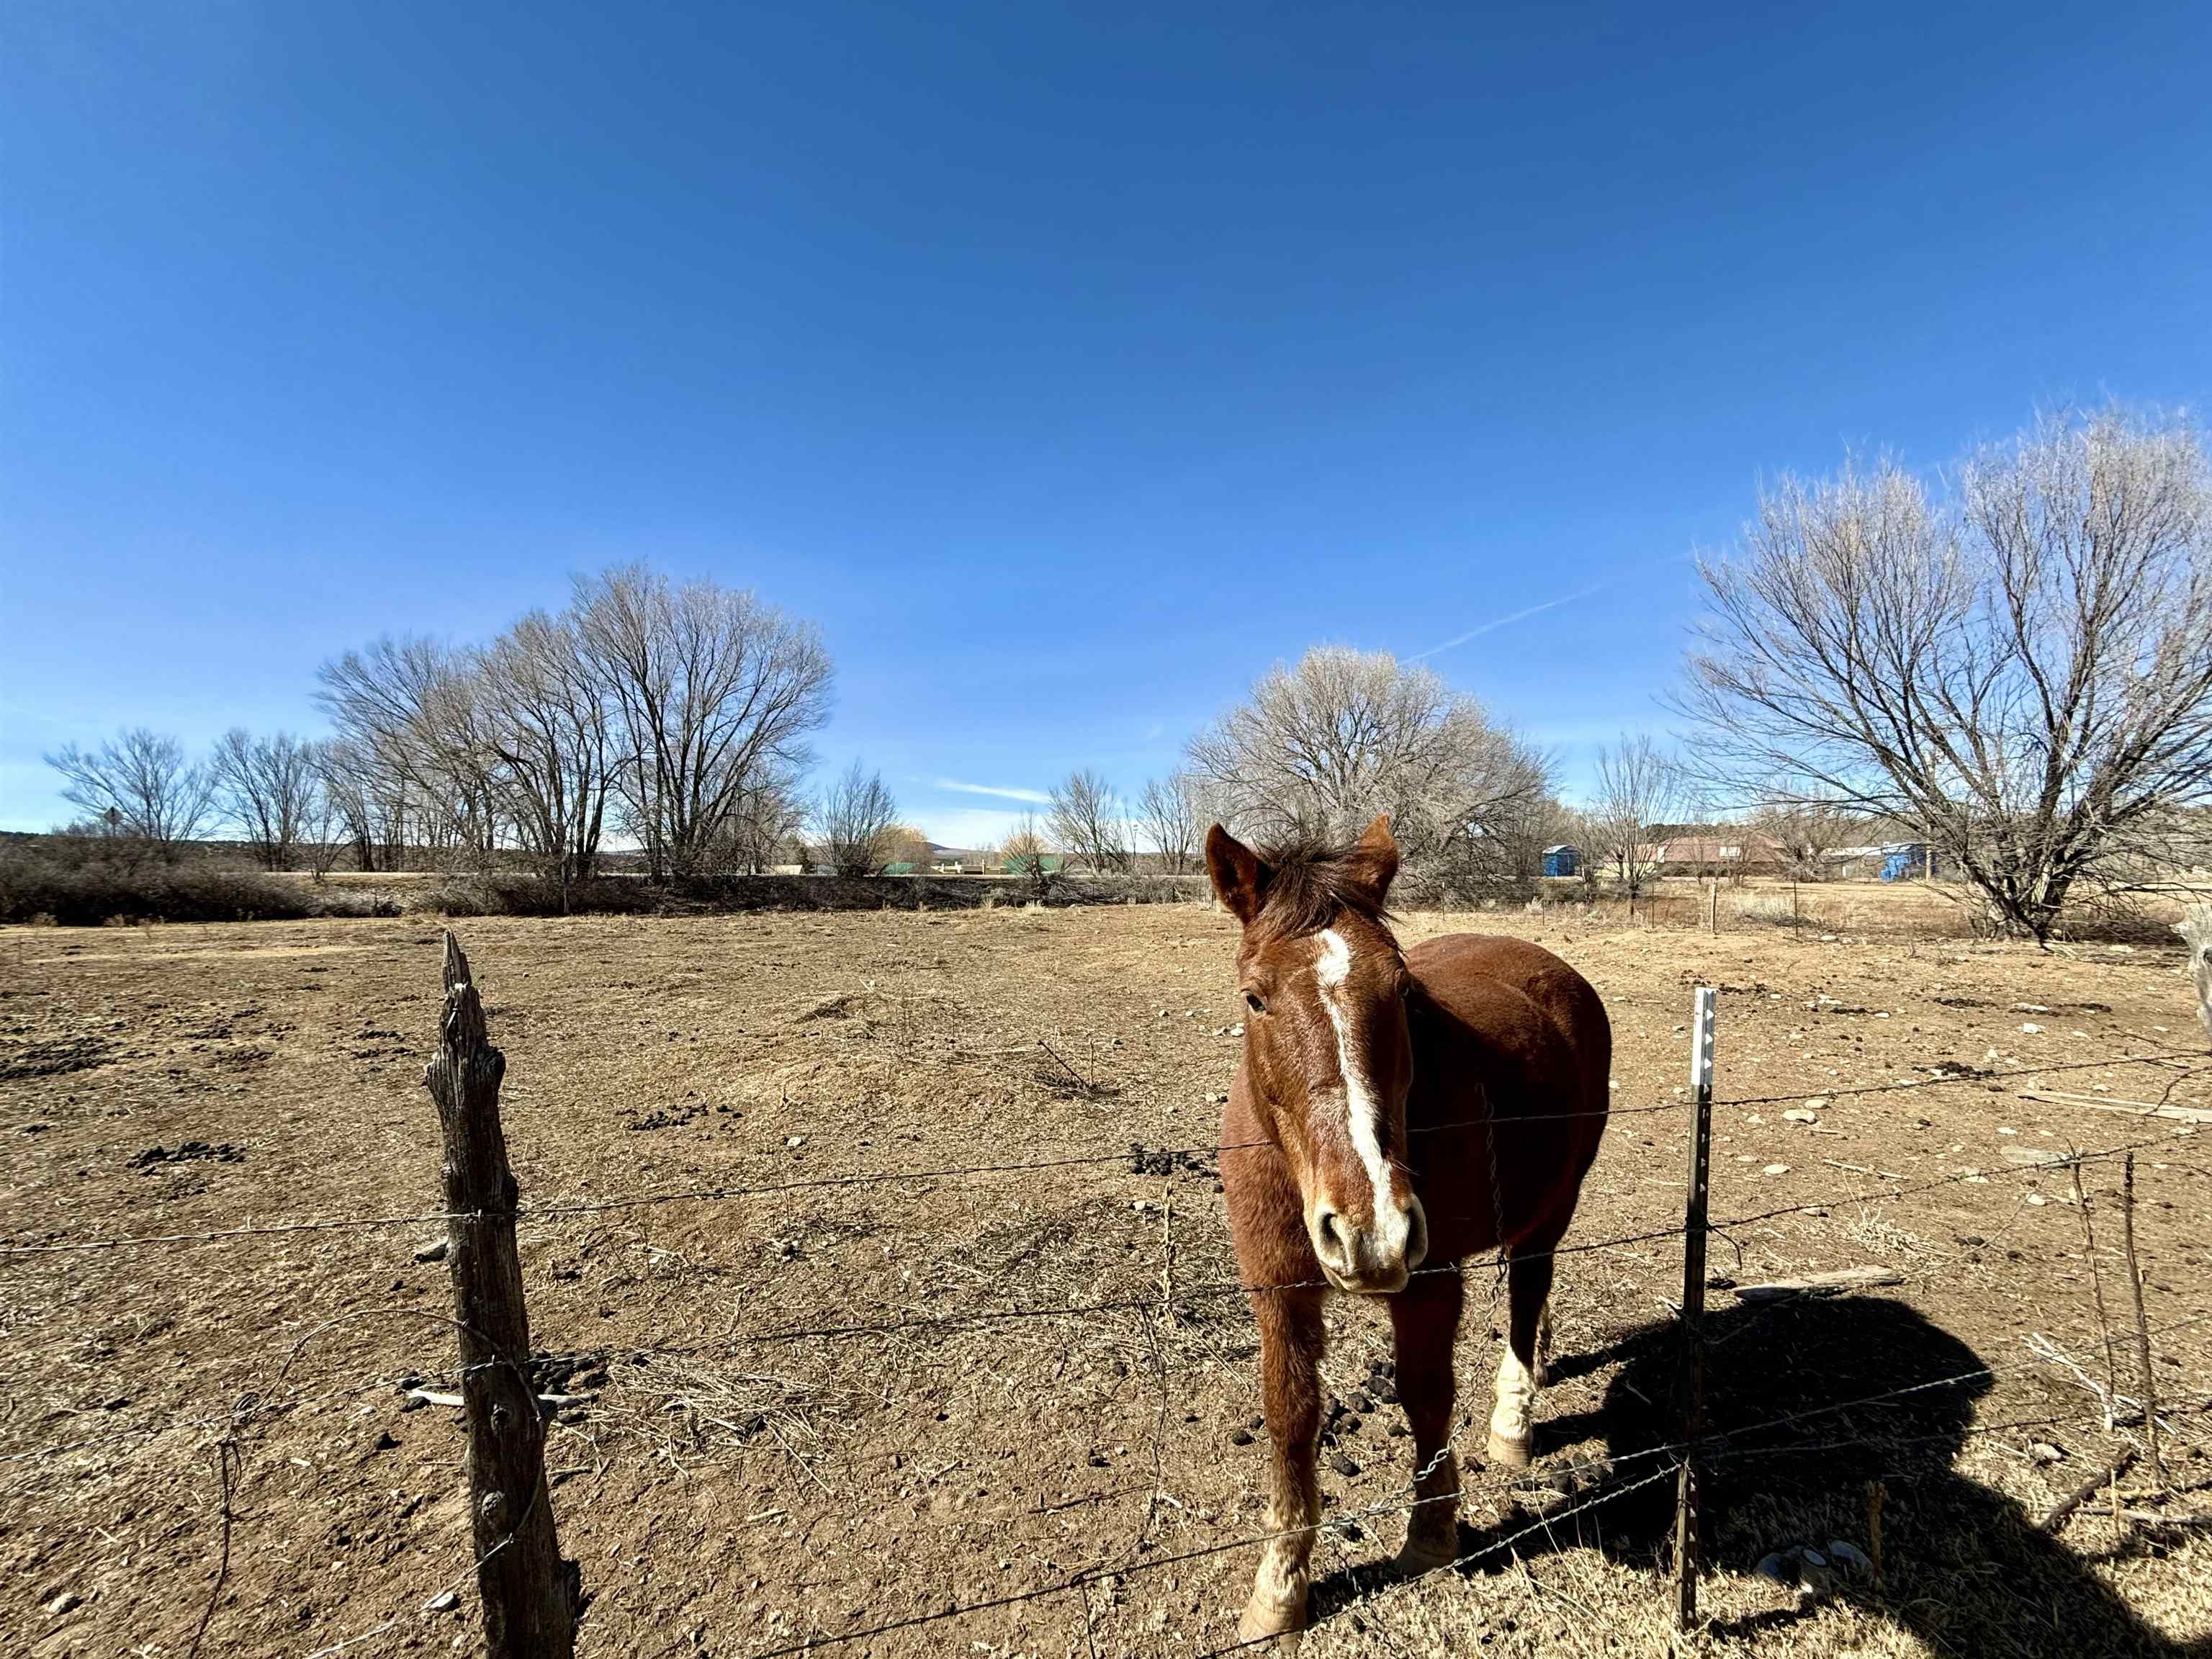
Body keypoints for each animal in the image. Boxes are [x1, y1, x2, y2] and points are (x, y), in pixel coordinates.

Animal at [1212, 814, 1610, 1645]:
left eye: (1400, 990)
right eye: (1255, 998)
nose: (1371, 1232)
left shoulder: (1428, 1280)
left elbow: (1426, 1393)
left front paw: (1431, 1535)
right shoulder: (1277, 1288)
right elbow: (1290, 1417)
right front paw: (1280, 1590)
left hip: (1554, 1204)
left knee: (1529, 1291)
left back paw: (1515, 1418)